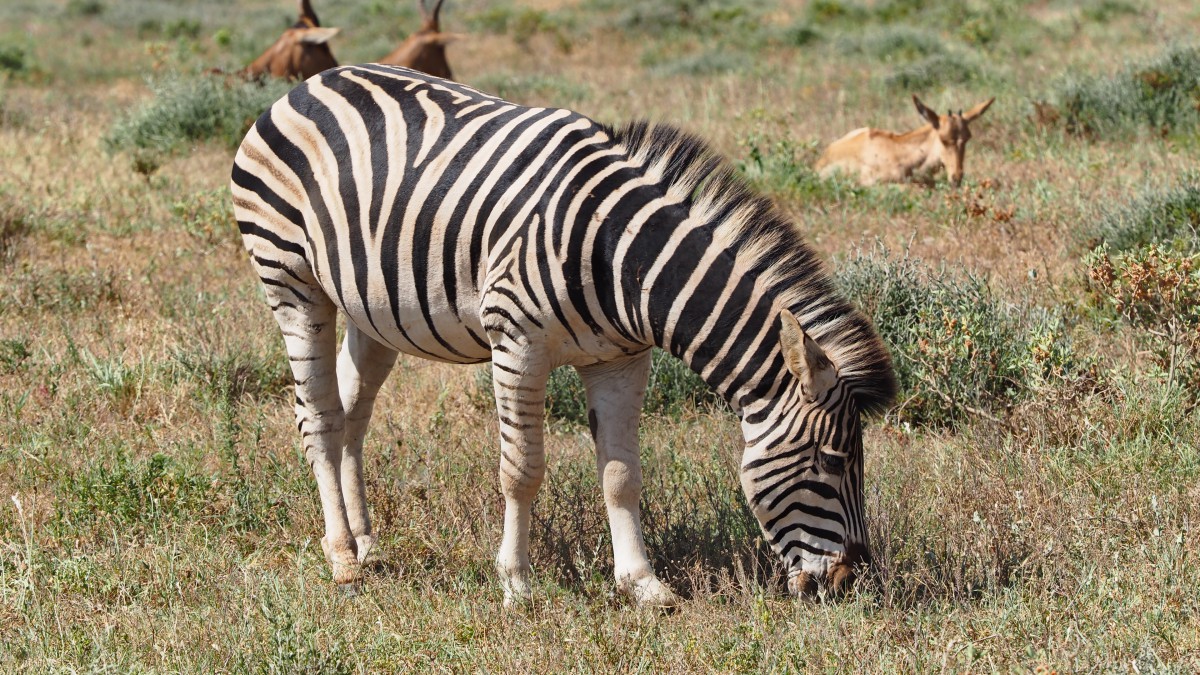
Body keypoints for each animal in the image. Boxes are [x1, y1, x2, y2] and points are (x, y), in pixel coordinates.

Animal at [229, 64, 897, 605]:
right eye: (832, 461)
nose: (850, 582)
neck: (622, 258)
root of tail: (307, 84)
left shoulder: (621, 359)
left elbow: (622, 474)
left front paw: (643, 584)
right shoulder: (517, 343)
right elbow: (521, 470)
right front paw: (517, 585)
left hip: (371, 308)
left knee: (351, 412)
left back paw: (365, 540)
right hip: (292, 281)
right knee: (318, 416)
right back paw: (343, 559)